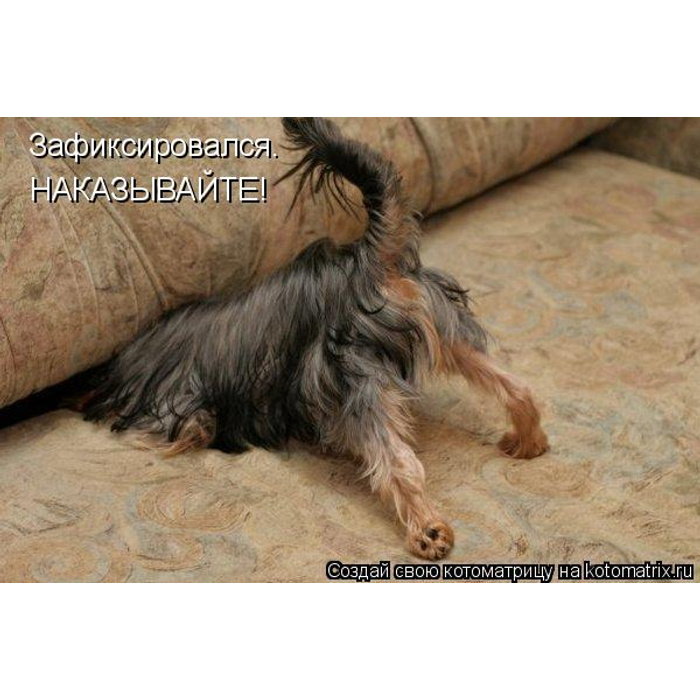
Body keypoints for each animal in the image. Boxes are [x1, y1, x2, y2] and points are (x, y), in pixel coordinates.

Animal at [83, 117, 549, 560]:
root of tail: (365, 262)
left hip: (353, 368)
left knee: (396, 464)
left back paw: (427, 531)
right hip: (443, 326)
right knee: (515, 386)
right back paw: (528, 441)